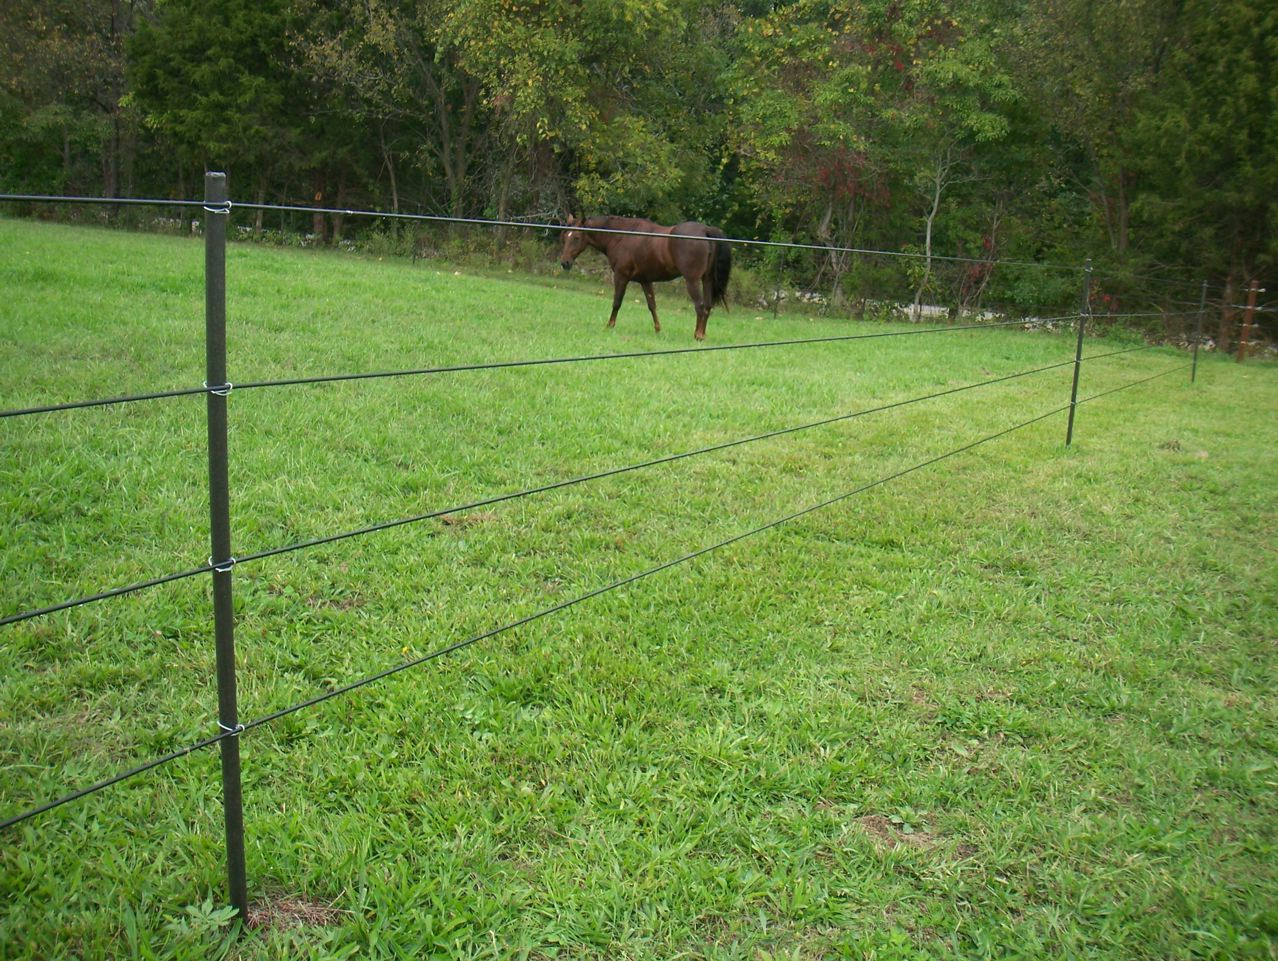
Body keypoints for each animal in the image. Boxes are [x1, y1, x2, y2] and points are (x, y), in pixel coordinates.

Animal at [557, 213, 731, 337]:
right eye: (564, 236)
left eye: (576, 237)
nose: (565, 262)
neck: (622, 235)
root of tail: (705, 230)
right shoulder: (645, 281)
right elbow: (652, 305)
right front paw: (658, 329)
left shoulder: (621, 276)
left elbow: (617, 302)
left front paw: (610, 325)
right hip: (707, 280)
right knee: (707, 306)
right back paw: (703, 334)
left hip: (692, 281)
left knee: (700, 307)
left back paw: (698, 335)